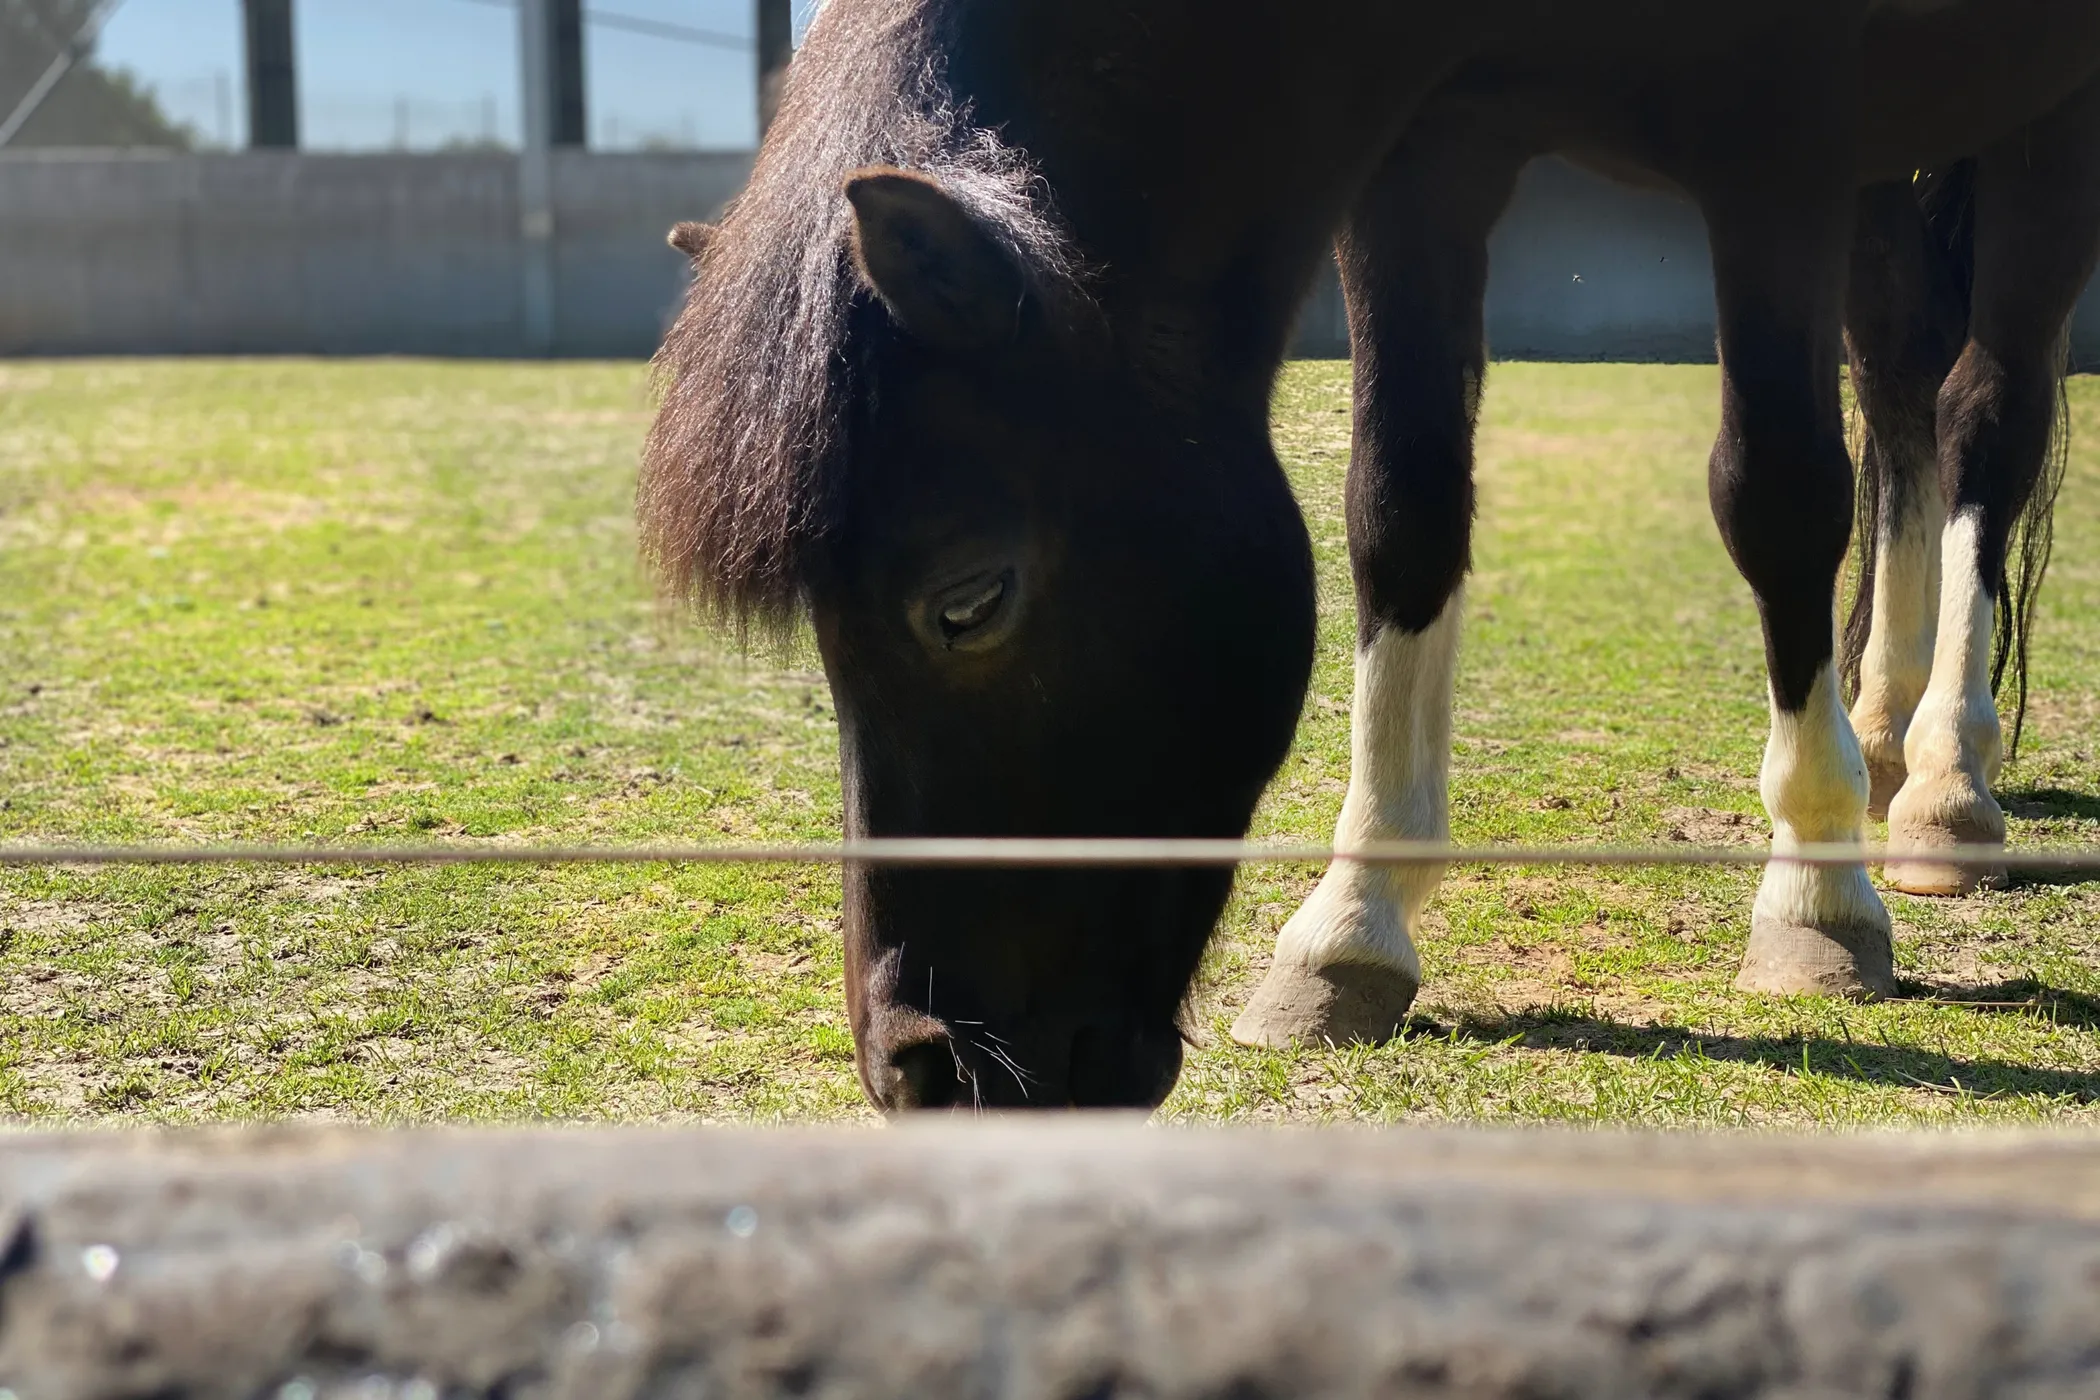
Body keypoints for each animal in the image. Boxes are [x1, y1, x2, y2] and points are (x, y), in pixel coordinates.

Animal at [638, 5, 2100, 1108]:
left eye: (966, 601)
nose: (925, 1070)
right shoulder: (1427, 148)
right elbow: (1400, 501)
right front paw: (1352, 923)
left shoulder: (1778, 130)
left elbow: (1782, 494)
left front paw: (1814, 893)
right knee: (1901, 380)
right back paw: (1887, 720)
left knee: (1983, 411)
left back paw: (1945, 781)